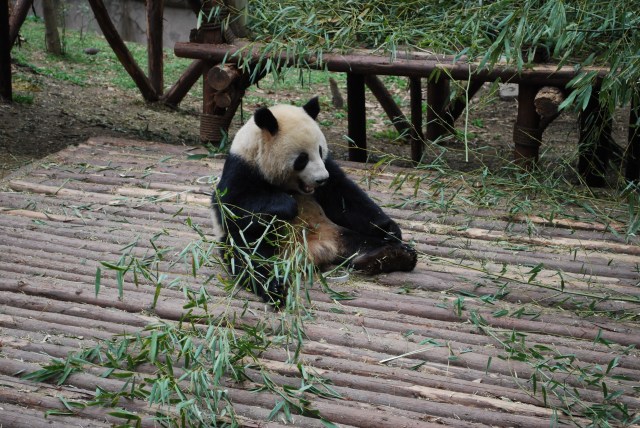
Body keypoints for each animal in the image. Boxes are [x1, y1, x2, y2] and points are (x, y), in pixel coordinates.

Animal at [212, 97, 417, 305]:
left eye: (319, 150)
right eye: (302, 159)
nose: (321, 179)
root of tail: (313, 252)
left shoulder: (329, 170)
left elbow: (345, 199)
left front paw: (390, 229)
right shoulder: (241, 169)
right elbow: (233, 208)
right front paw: (287, 205)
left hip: (339, 232)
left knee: (366, 244)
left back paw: (395, 255)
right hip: (248, 243)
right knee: (252, 259)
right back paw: (275, 286)